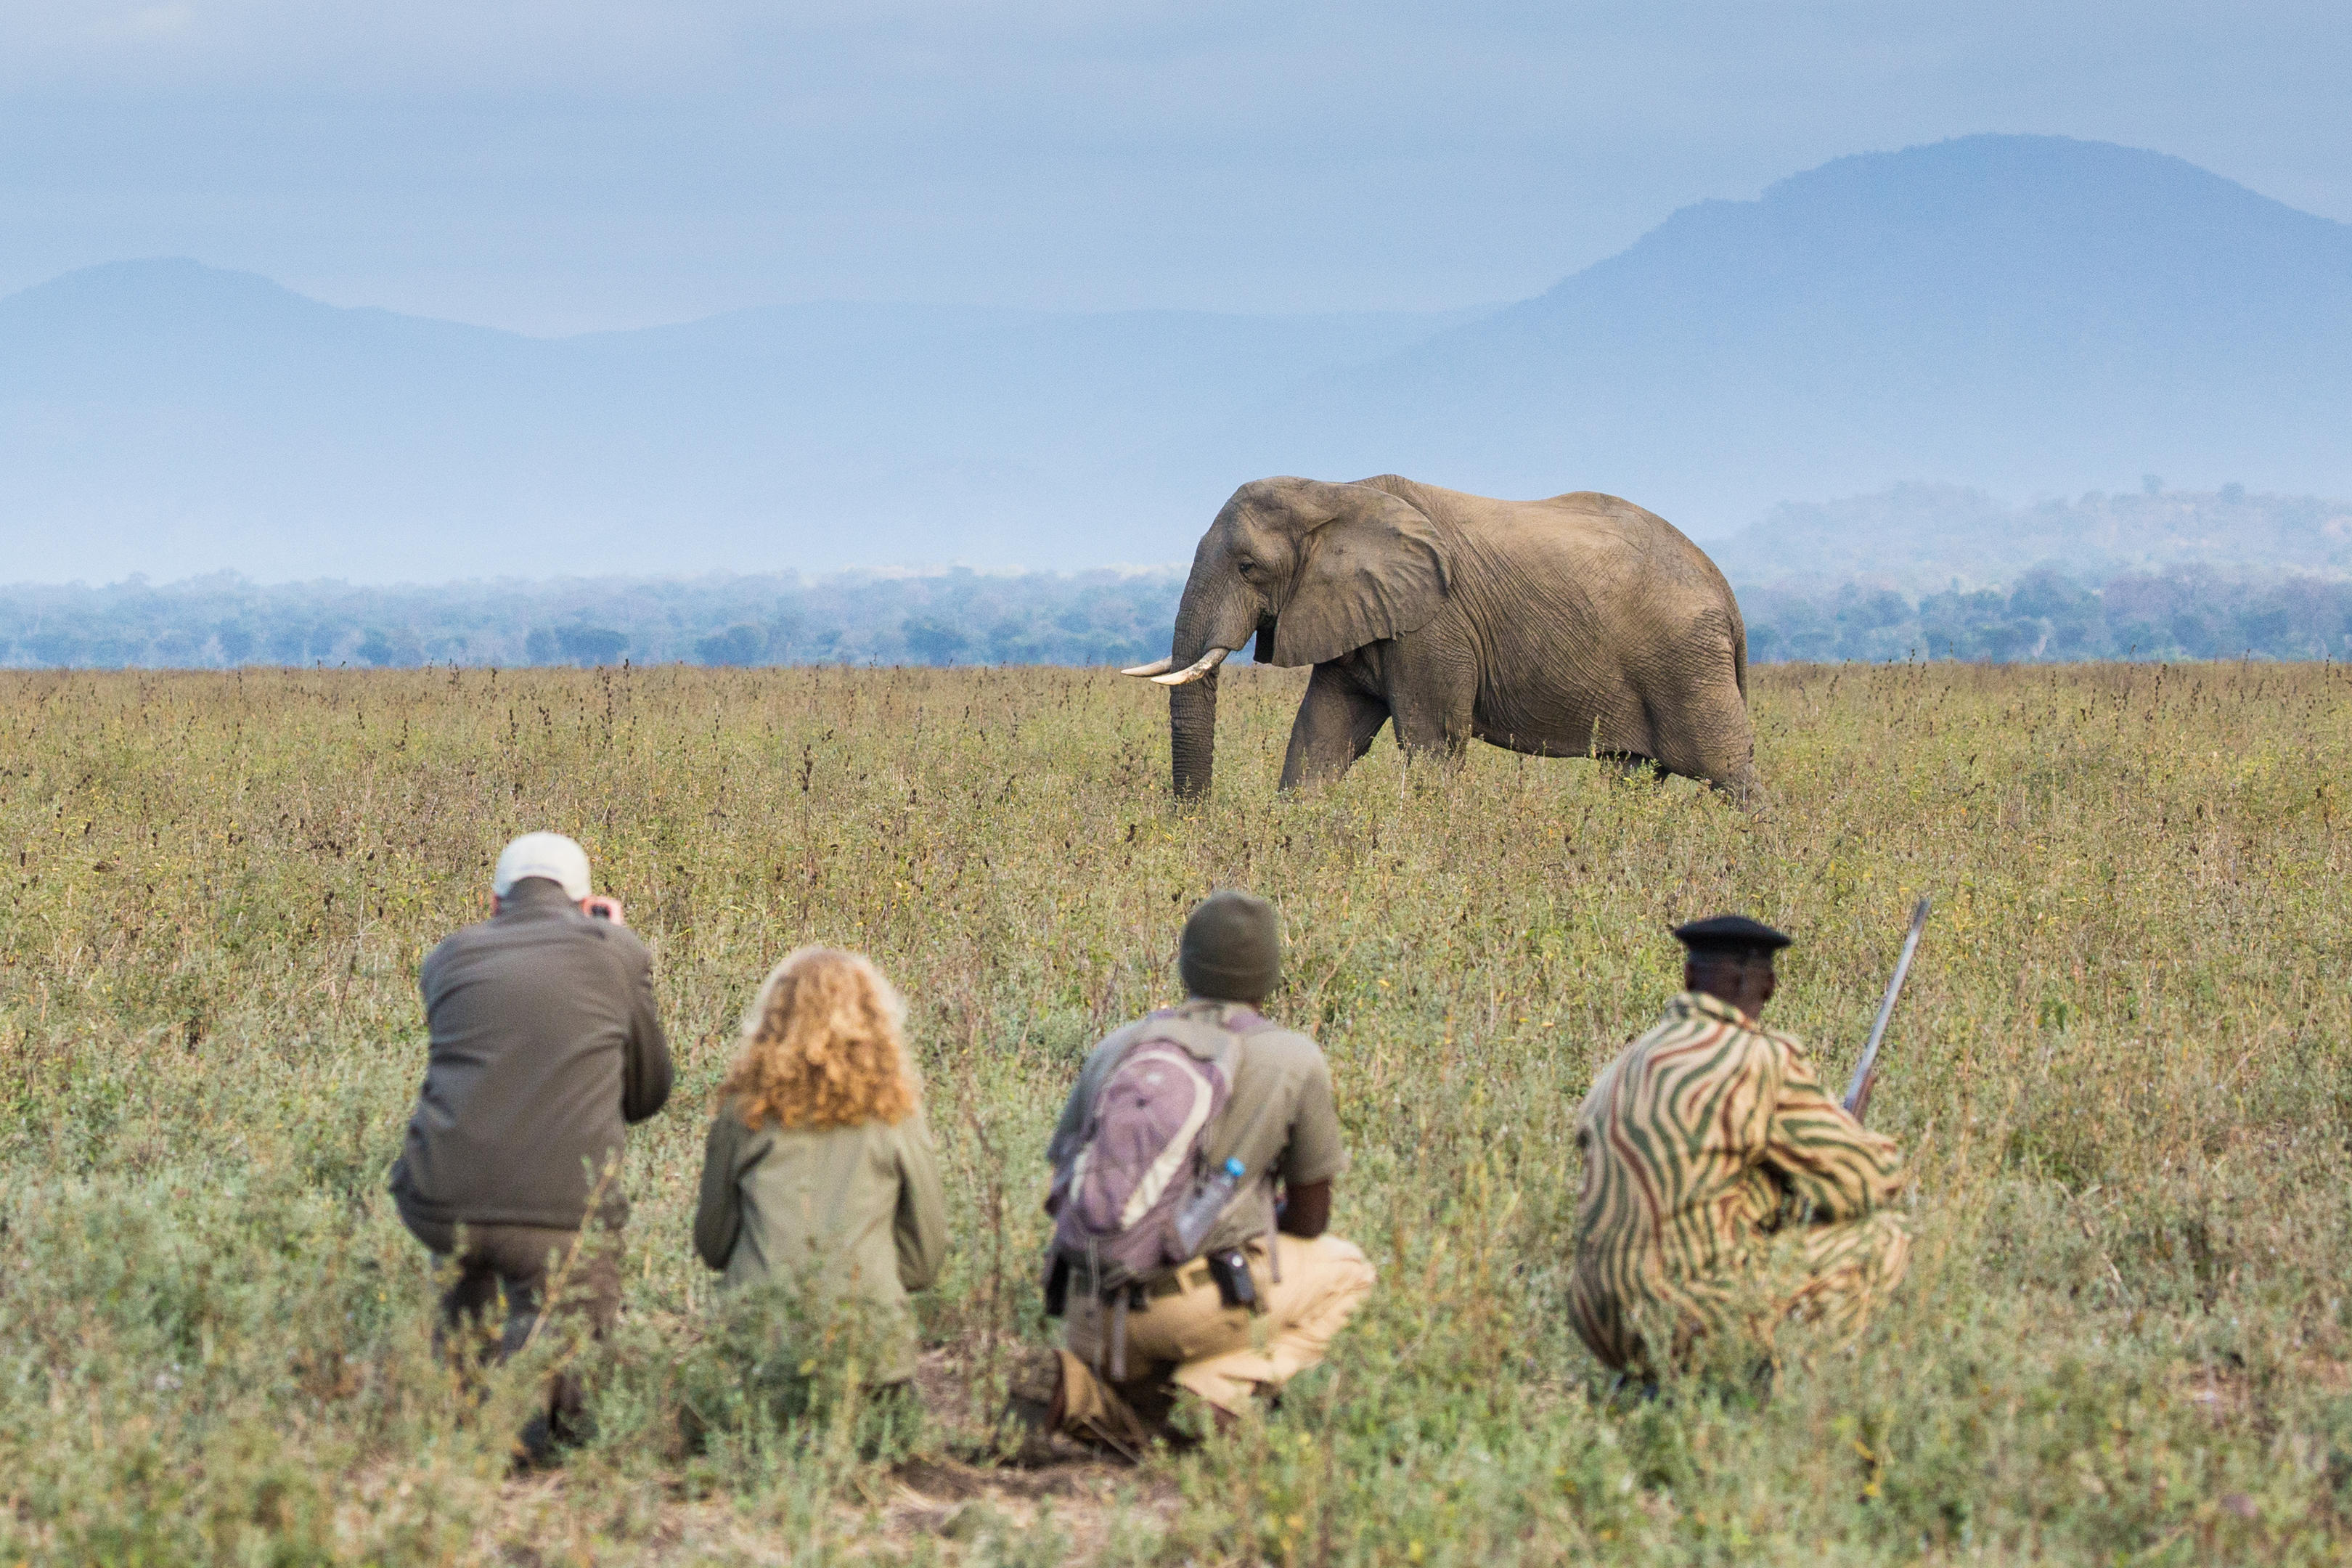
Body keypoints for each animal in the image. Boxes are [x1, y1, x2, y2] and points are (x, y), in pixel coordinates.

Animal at [1122, 474, 1760, 801]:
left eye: (1248, 567)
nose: (1196, 819)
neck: (1333, 492)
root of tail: (1727, 593)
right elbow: (1322, 734)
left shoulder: (1435, 624)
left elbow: (1431, 739)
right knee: (1631, 773)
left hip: (1687, 661)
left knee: (1730, 768)